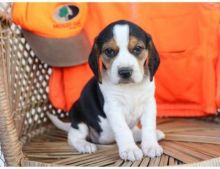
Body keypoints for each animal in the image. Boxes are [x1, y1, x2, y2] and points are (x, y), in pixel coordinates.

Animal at [48, 19, 165, 161]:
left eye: (138, 49)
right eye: (109, 51)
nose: (125, 72)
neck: (129, 88)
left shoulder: (149, 104)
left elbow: (148, 127)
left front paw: (151, 145)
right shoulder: (113, 107)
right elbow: (123, 129)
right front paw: (129, 149)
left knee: (134, 131)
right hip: (79, 118)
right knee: (73, 137)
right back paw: (84, 145)